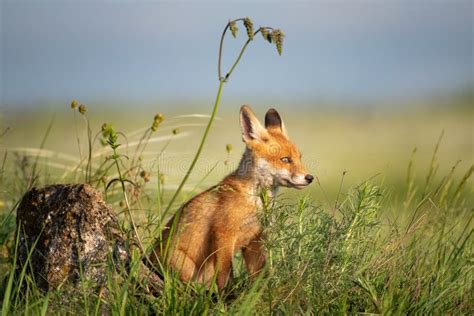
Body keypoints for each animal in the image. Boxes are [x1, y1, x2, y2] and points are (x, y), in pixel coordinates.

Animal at [152, 105, 312, 288]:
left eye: (299, 158)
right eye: (285, 160)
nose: (310, 178)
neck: (255, 201)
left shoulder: (255, 240)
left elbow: (259, 276)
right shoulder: (224, 234)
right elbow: (226, 274)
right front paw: (227, 294)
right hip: (186, 267)